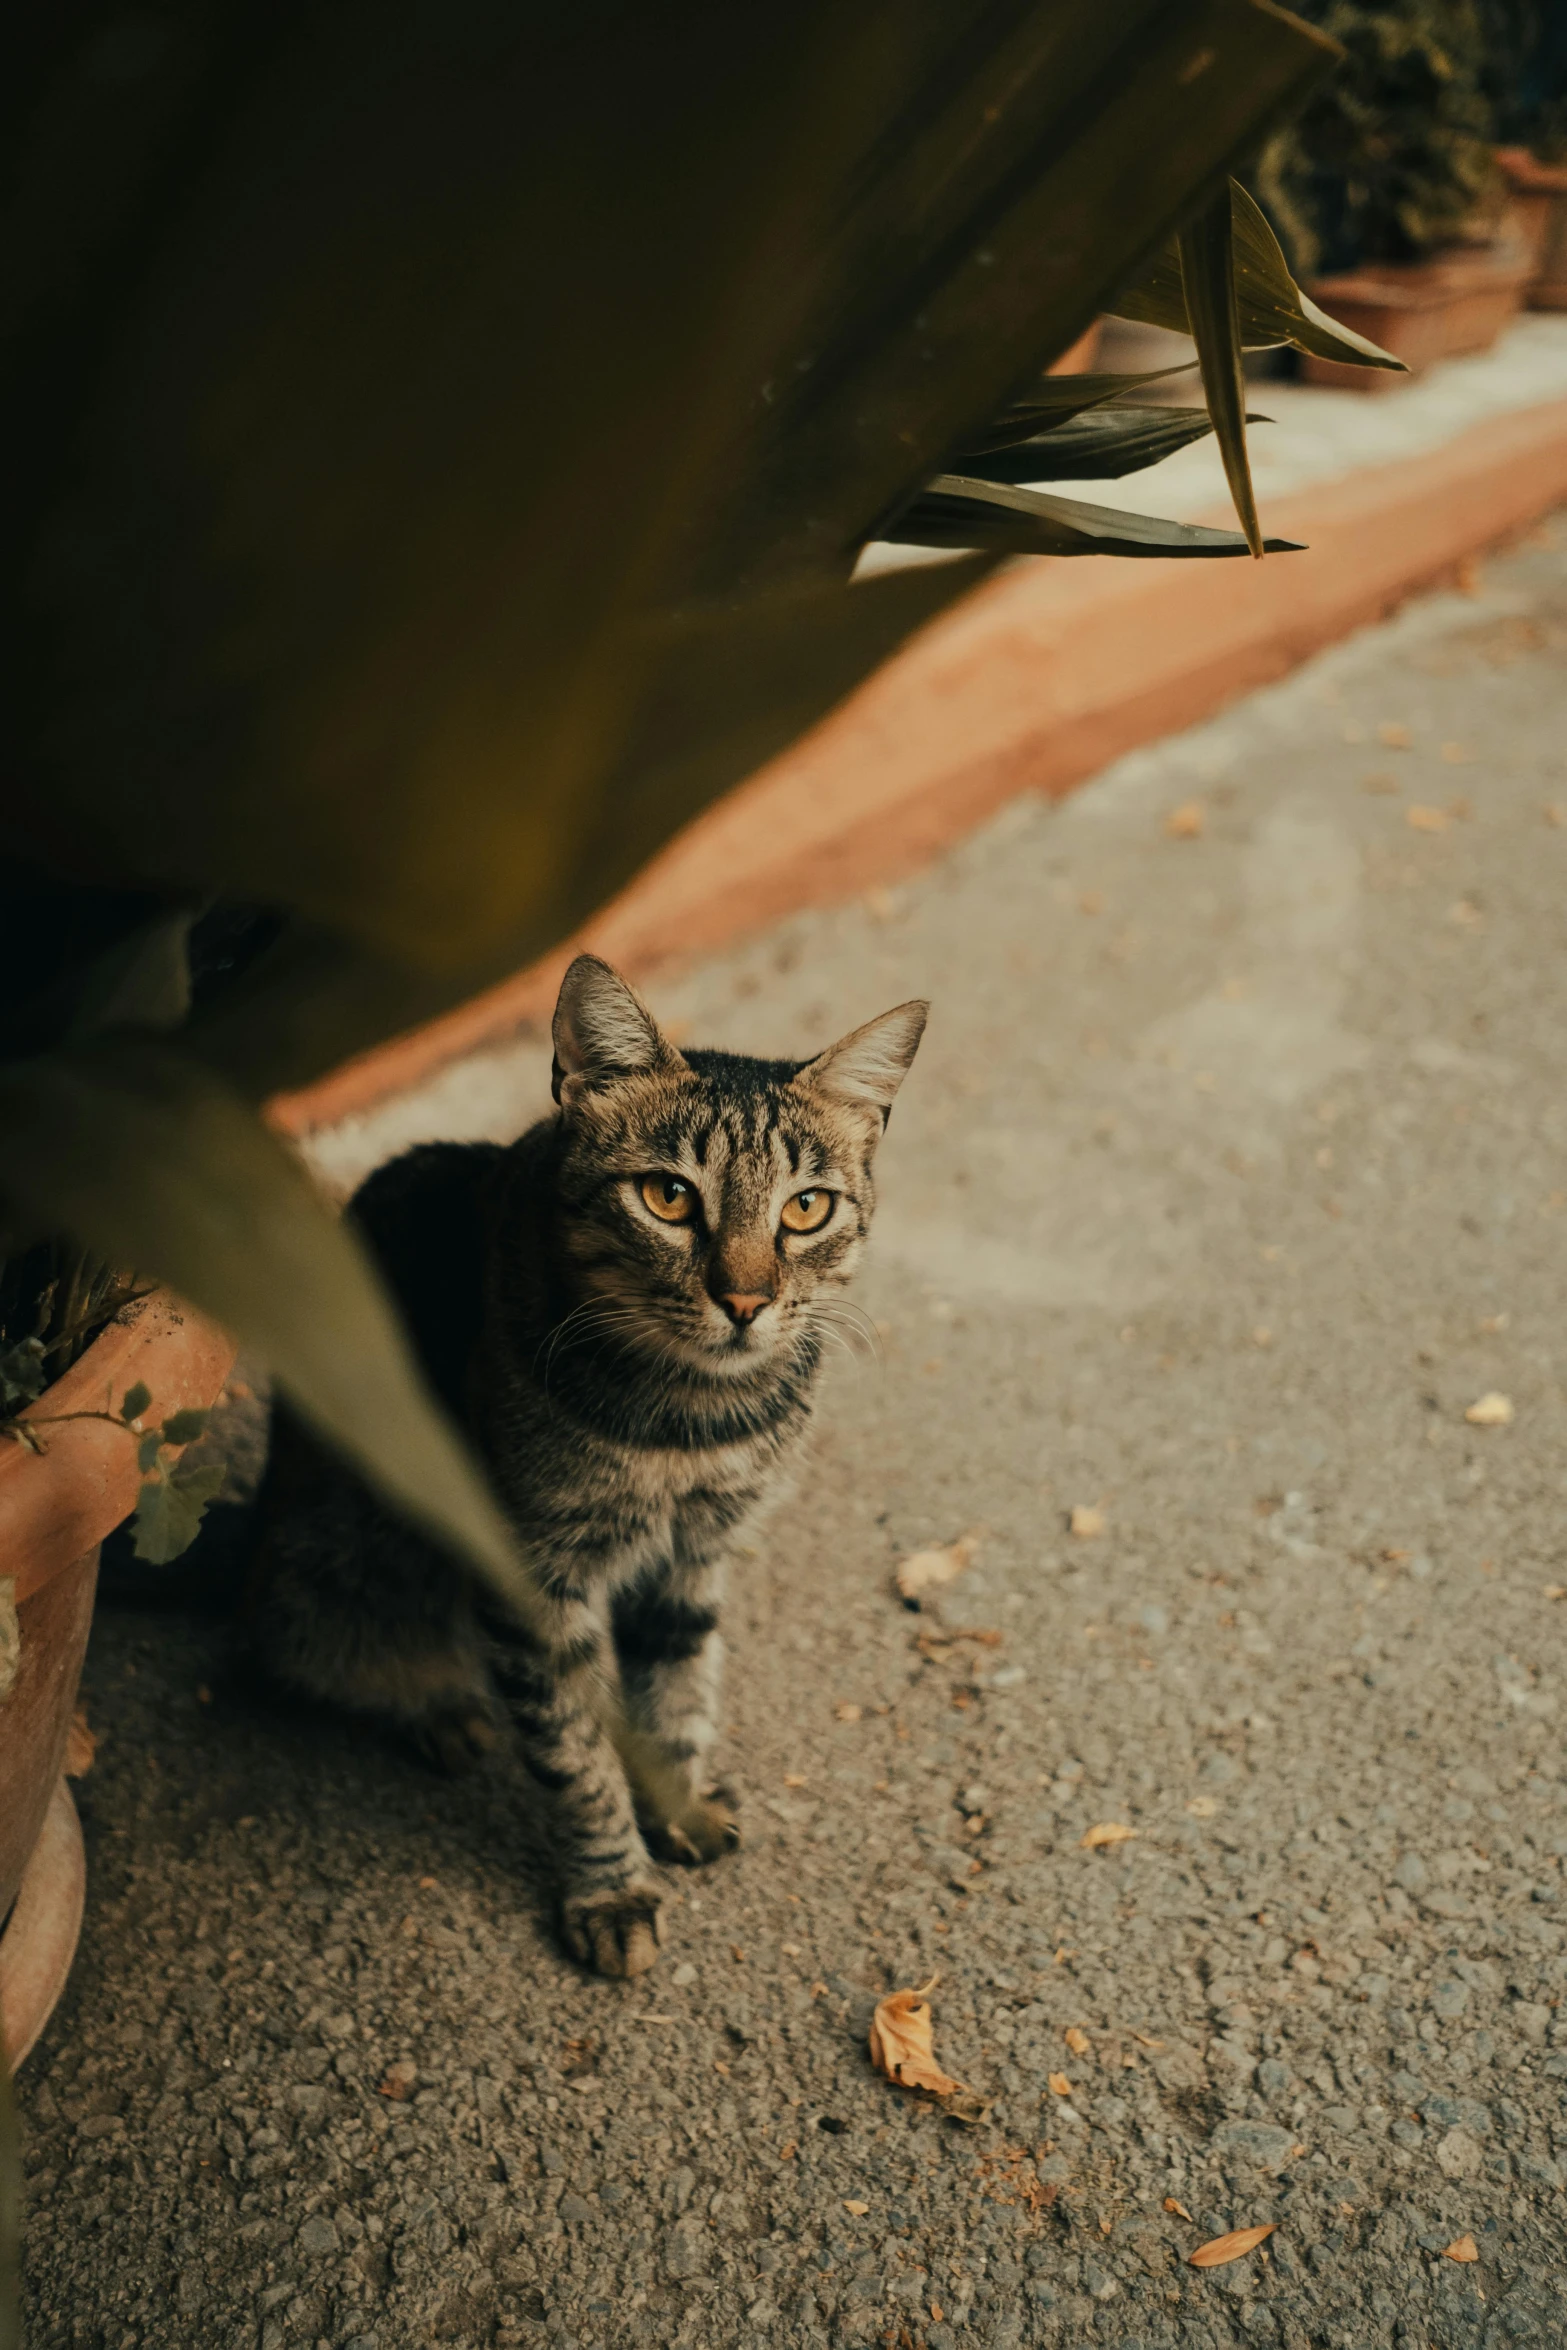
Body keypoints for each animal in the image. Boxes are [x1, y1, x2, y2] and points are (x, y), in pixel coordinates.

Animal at [250, 944, 925, 1973]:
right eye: (668, 1197)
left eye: (806, 1209)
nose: (745, 1301)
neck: (691, 1421)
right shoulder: (532, 1575)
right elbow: (574, 1752)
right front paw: (611, 1886)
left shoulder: (695, 1556)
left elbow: (675, 1694)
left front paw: (677, 1807)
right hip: (340, 1548)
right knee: (329, 1654)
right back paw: (439, 1708)